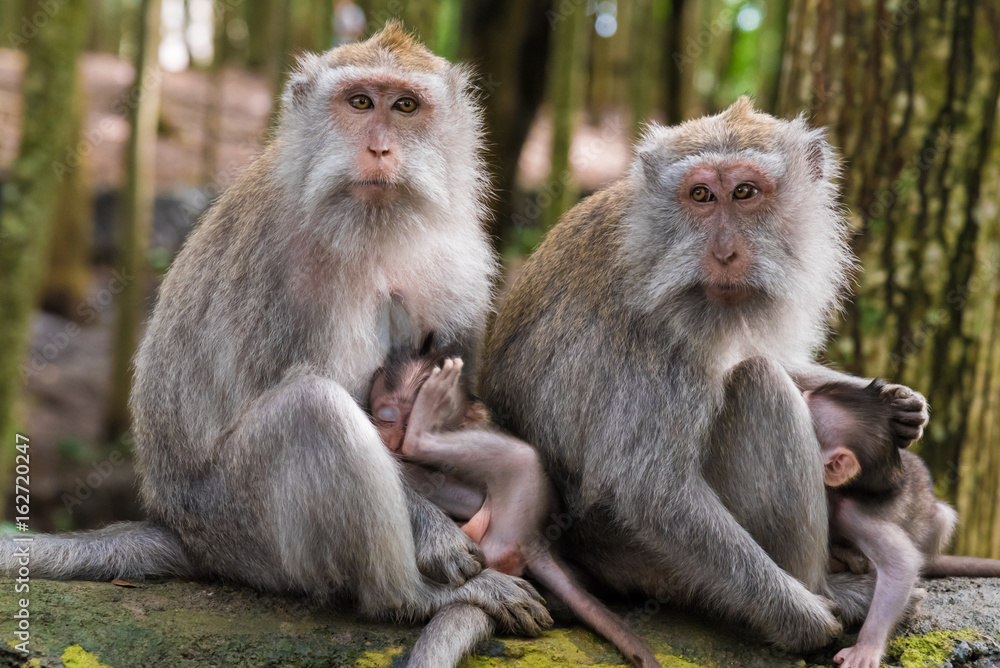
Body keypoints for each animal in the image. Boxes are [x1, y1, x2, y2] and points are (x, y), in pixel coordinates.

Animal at [372, 348, 660, 668]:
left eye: (404, 420)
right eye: (386, 417)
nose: (393, 441)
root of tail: (536, 542)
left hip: (517, 508)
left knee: (519, 457)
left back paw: (423, 432)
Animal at [480, 99, 924, 652]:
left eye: (744, 193)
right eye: (700, 195)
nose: (724, 253)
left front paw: (895, 401)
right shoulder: (658, 332)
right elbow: (654, 492)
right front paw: (803, 618)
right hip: (655, 568)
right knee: (758, 385)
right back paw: (828, 591)